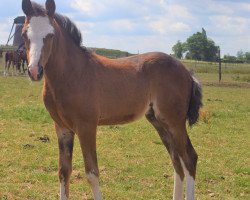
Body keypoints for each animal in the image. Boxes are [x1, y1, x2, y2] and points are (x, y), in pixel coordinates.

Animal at [21, 0, 201, 200]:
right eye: (24, 34)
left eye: (50, 35)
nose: (34, 71)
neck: (72, 73)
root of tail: (187, 72)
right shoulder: (62, 128)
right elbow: (63, 172)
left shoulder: (86, 126)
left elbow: (92, 173)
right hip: (159, 121)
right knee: (176, 160)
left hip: (174, 121)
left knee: (189, 158)